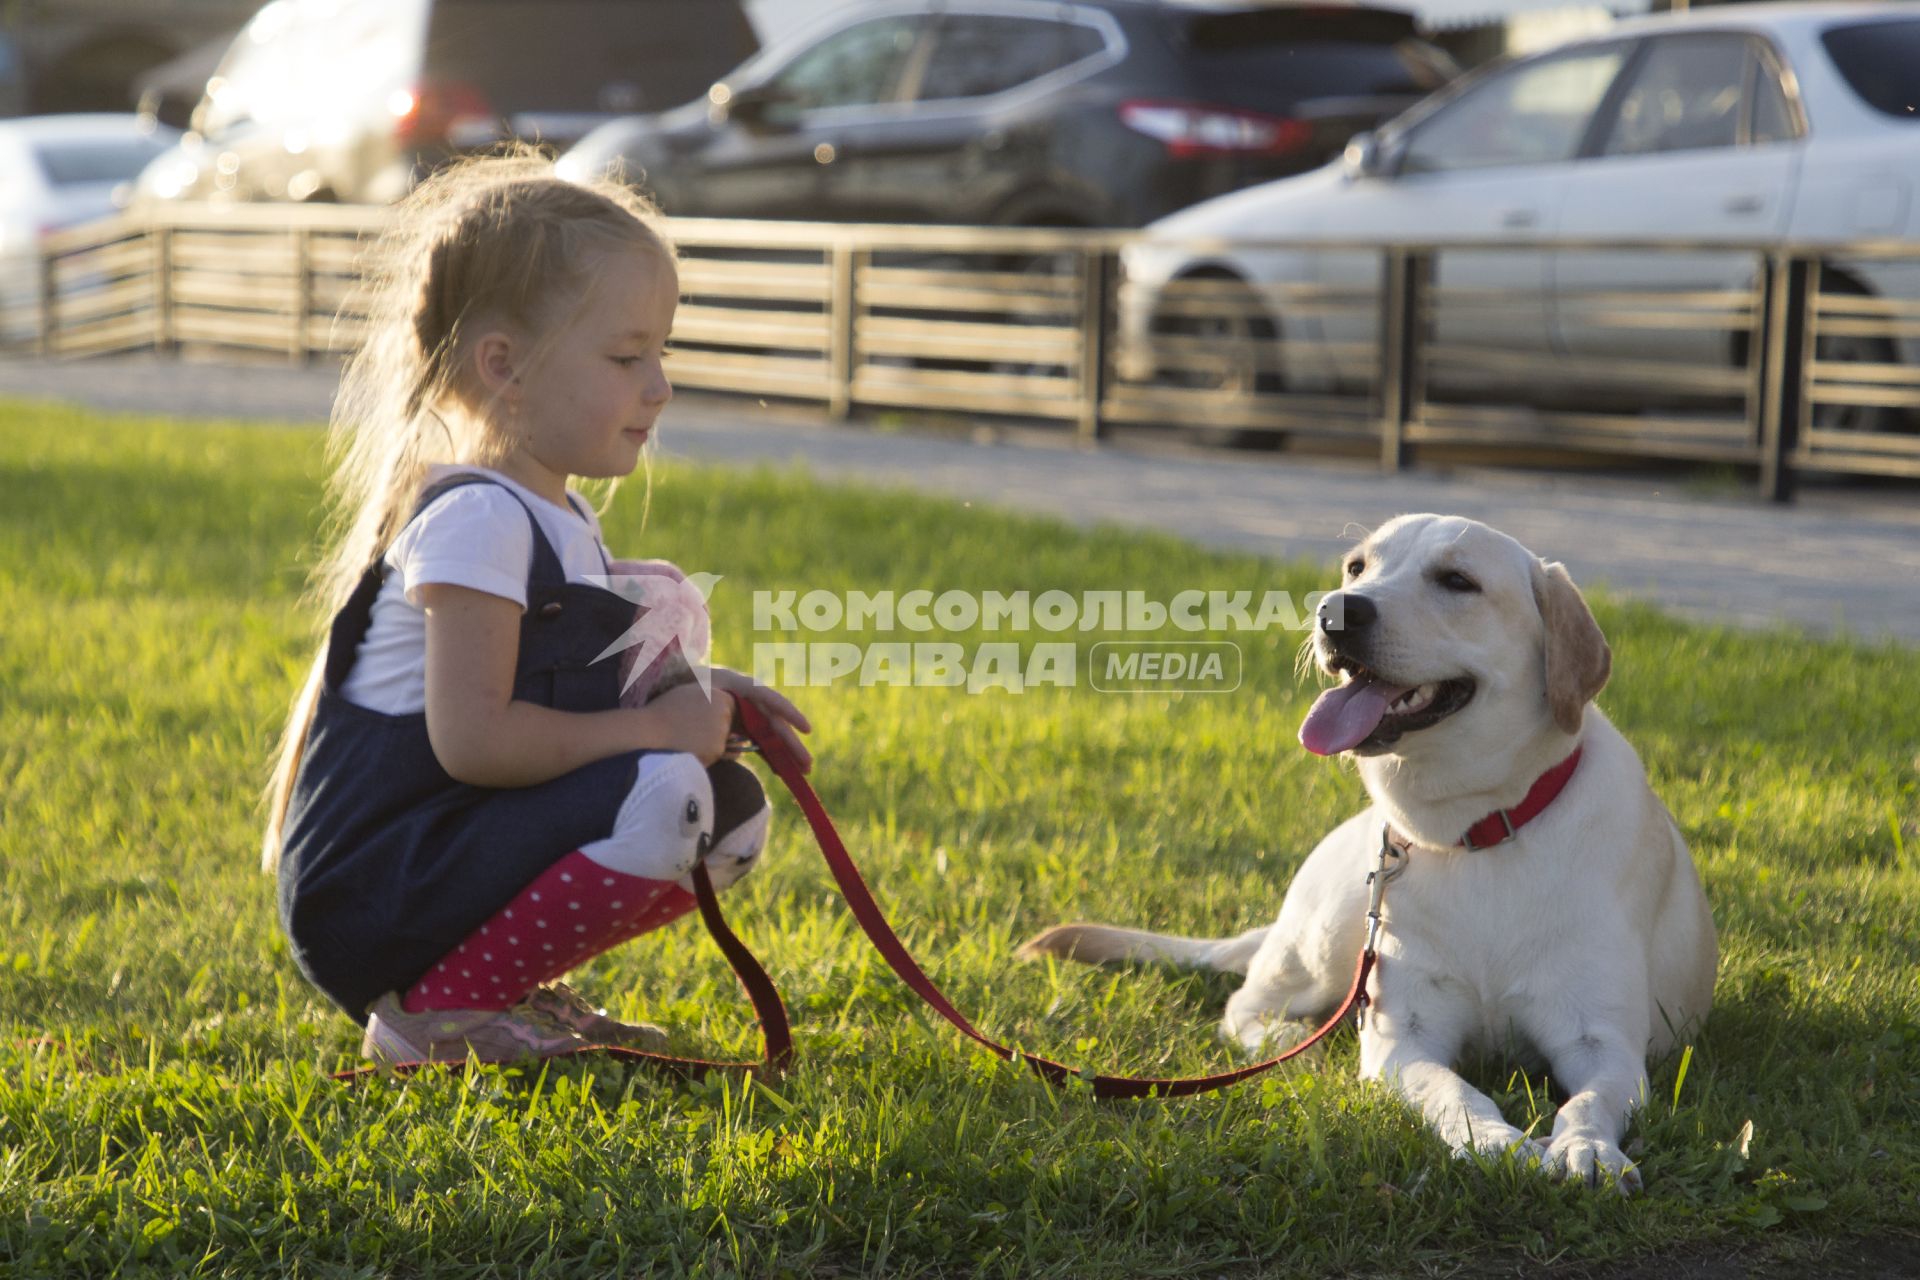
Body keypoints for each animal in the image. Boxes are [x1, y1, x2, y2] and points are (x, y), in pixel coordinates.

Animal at [1029, 510, 1720, 1189]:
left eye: (1457, 581)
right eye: (1357, 567)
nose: (1336, 610)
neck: (1472, 828)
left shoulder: (1601, 1041)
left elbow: (1589, 1101)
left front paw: (1587, 1150)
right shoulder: (1401, 1039)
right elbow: (1454, 1091)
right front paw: (1494, 1141)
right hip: (1321, 948)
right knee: (1246, 1006)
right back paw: (1289, 1041)